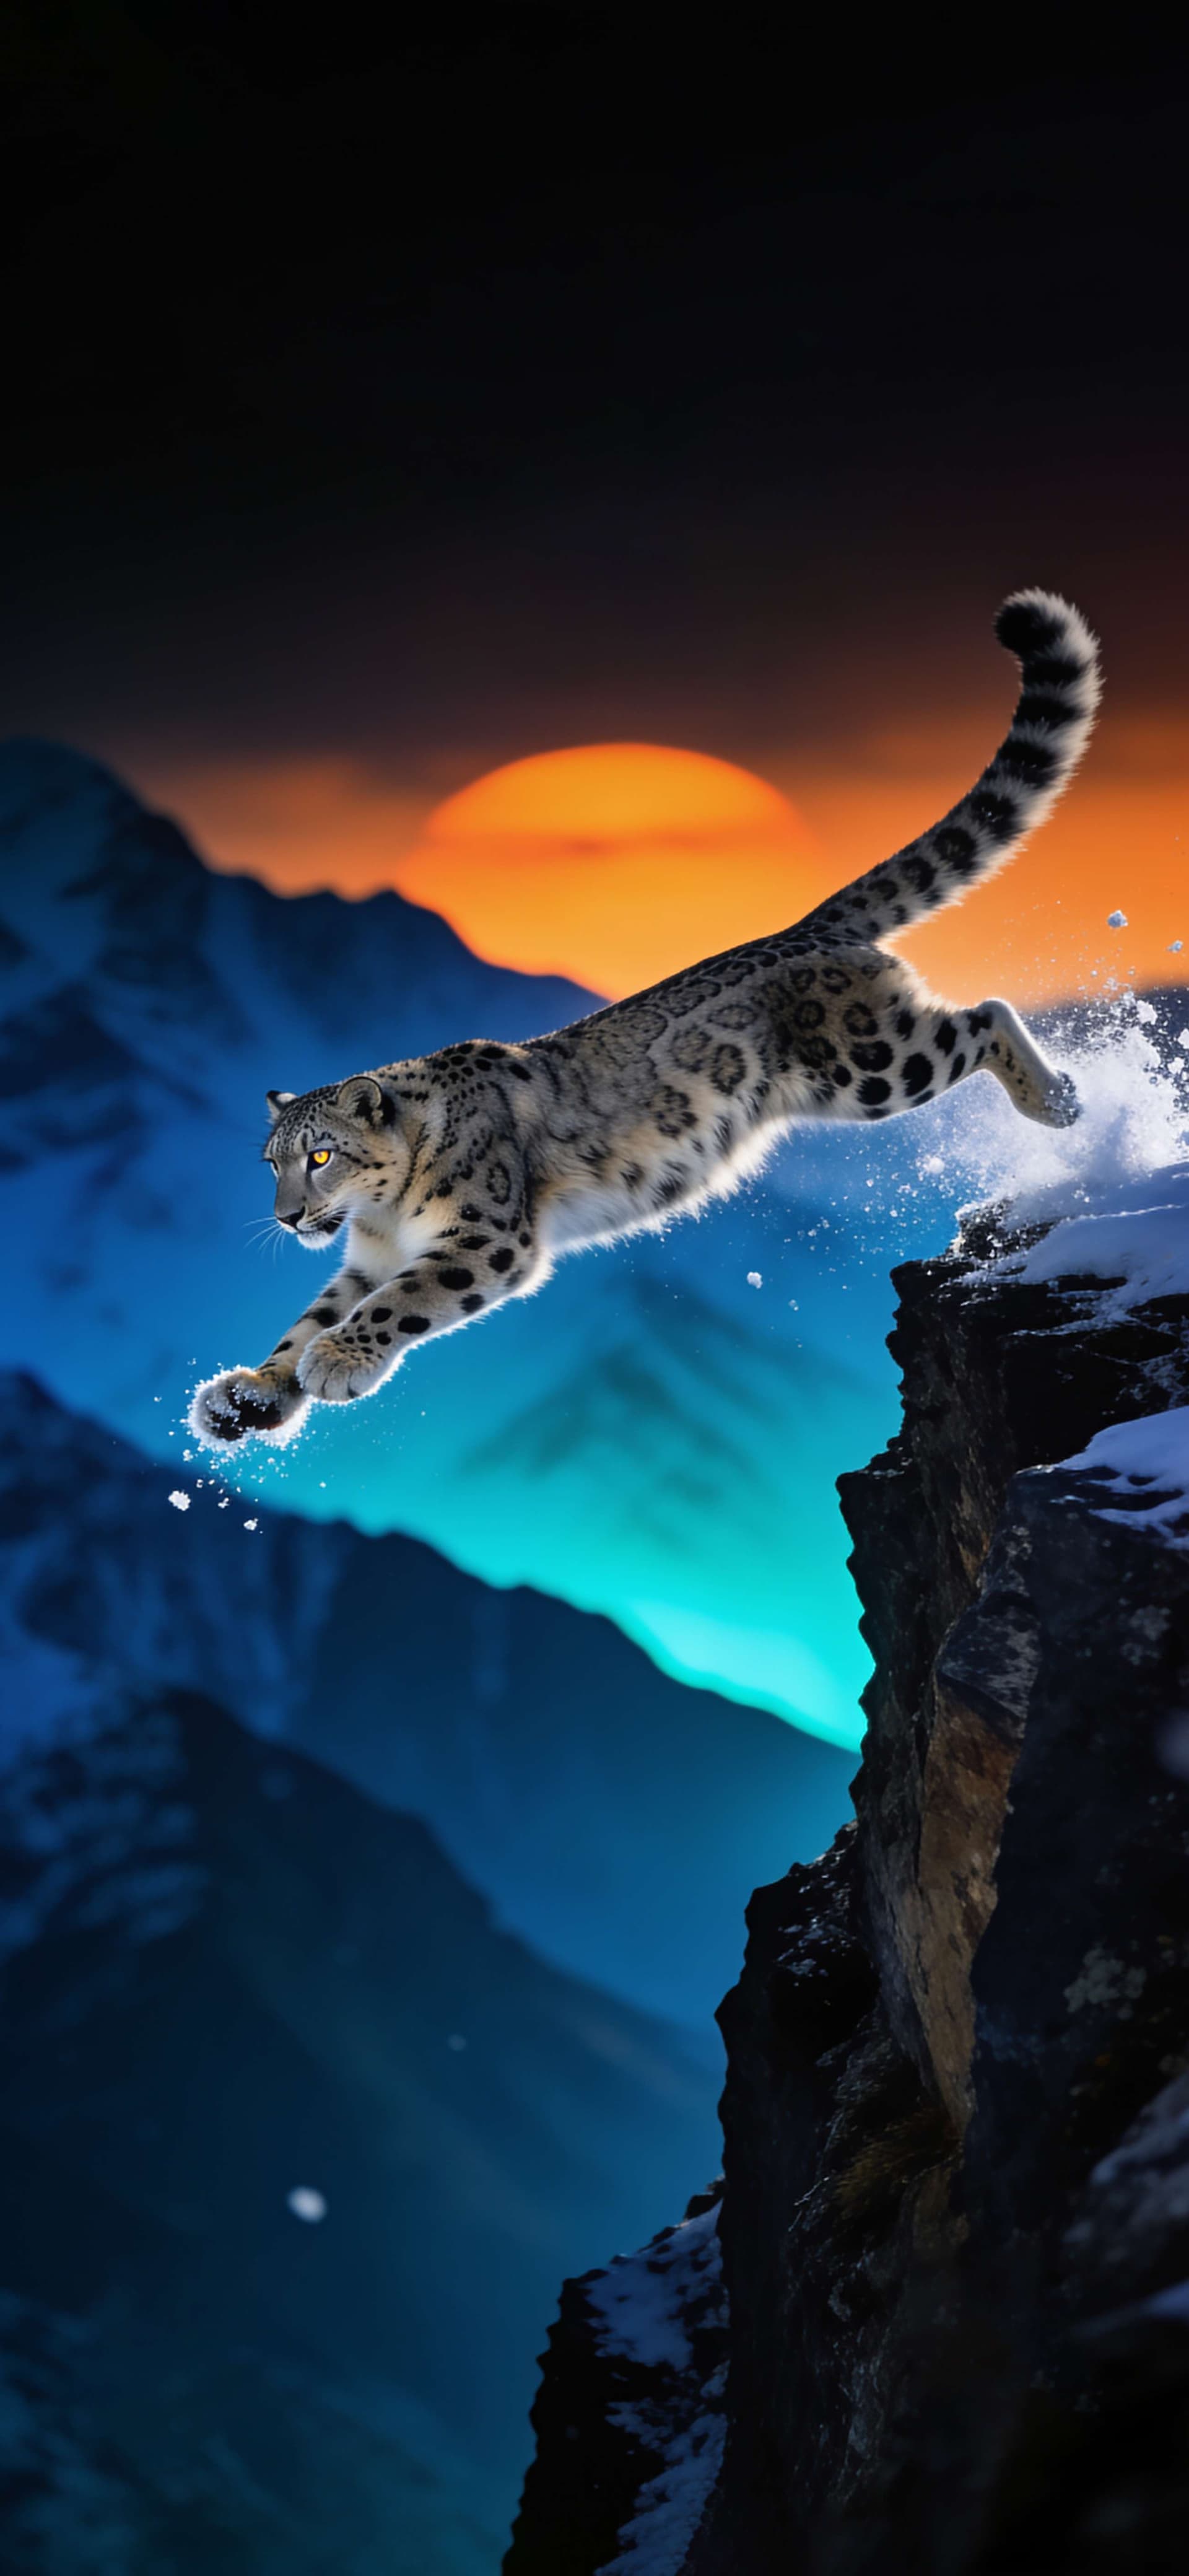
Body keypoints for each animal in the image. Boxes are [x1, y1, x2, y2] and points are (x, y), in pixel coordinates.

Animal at [190, 588, 1099, 1446]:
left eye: (321, 1155)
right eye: (272, 1162)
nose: (289, 1216)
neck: (385, 1214)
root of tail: (805, 927)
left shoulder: (484, 1237)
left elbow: (400, 1299)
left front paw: (337, 1360)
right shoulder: (367, 1255)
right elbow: (311, 1311)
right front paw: (248, 1394)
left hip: (873, 1063)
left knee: (983, 1014)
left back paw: (1058, 1102)